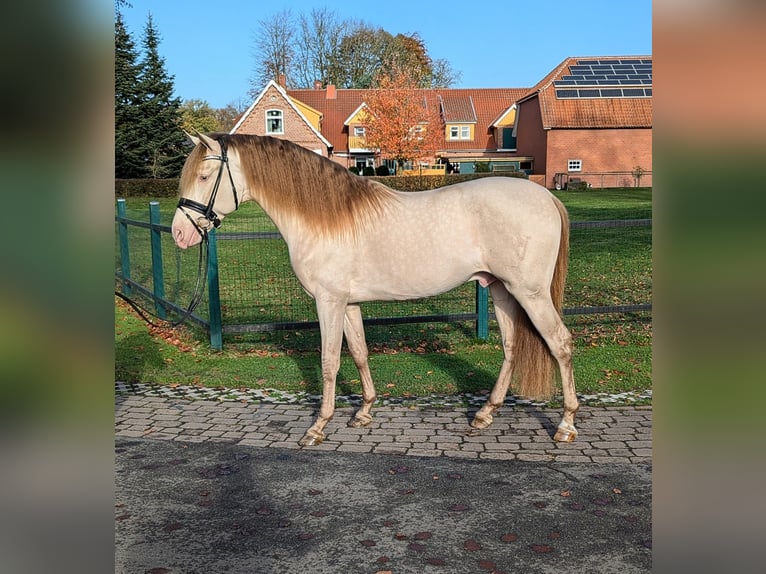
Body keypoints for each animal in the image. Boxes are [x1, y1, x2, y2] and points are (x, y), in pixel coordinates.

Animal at [172, 135, 584, 450]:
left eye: (205, 175)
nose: (179, 233)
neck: (324, 218)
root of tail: (547, 198)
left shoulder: (329, 301)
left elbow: (329, 362)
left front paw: (318, 427)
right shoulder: (348, 303)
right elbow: (358, 353)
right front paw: (365, 411)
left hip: (530, 293)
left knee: (561, 343)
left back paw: (565, 425)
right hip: (500, 289)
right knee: (511, 347)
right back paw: (484, 414)